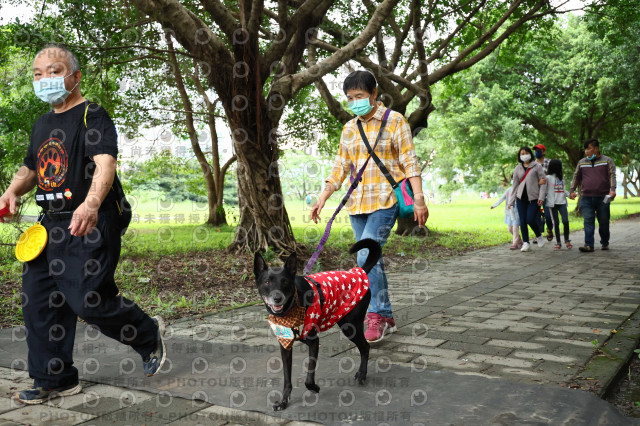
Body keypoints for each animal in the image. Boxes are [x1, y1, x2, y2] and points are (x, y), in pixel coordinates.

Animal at [254, 240, 380, 410]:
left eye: (285, 281)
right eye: (267, 281)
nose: (277, 298)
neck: (293, 307)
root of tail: (359, 272)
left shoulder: (314, 342)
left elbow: (309, 377)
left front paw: (314, 387)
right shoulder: (285, 346)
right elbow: (287, 378)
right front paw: (283, 401)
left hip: (350, 326)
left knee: (365, 347)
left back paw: (362, 374)